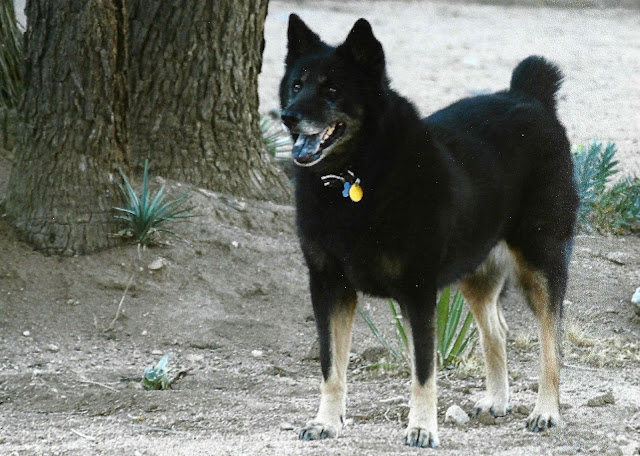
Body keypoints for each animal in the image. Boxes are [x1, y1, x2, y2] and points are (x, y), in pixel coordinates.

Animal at [280, 14, 579, 448]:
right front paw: (327, 421)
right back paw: (497, 400)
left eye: (332, 89)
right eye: (296, 85)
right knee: (497, 331)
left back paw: (546, 411)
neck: (357, 174)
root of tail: (528, 96)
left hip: (540, 263)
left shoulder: (418, 292)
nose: (287, 115)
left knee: (550, 341)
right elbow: (330, 366)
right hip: (477, 271)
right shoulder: (328, 287)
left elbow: (423, 371)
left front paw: (421, 428)